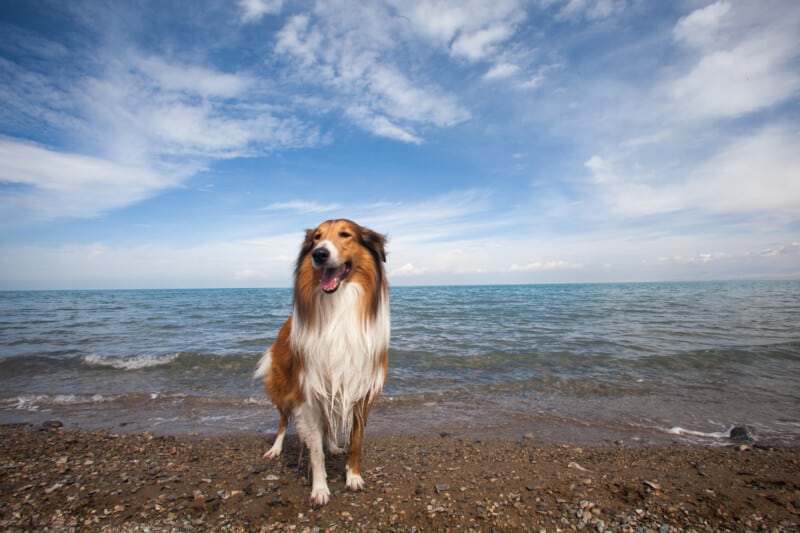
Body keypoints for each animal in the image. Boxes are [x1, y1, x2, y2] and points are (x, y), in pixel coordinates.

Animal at [255, 218, 390, 504]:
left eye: (346, 234)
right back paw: (275, 449)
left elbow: (355, 443)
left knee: (327, 424)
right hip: (284, 389)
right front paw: (319, 488)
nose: (319, 254)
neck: (337, 305)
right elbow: (315, 450)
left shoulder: (360, 392)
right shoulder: (307, 393)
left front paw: (353, 476)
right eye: (316, 238)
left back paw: (334, 446)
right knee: (283, 422)